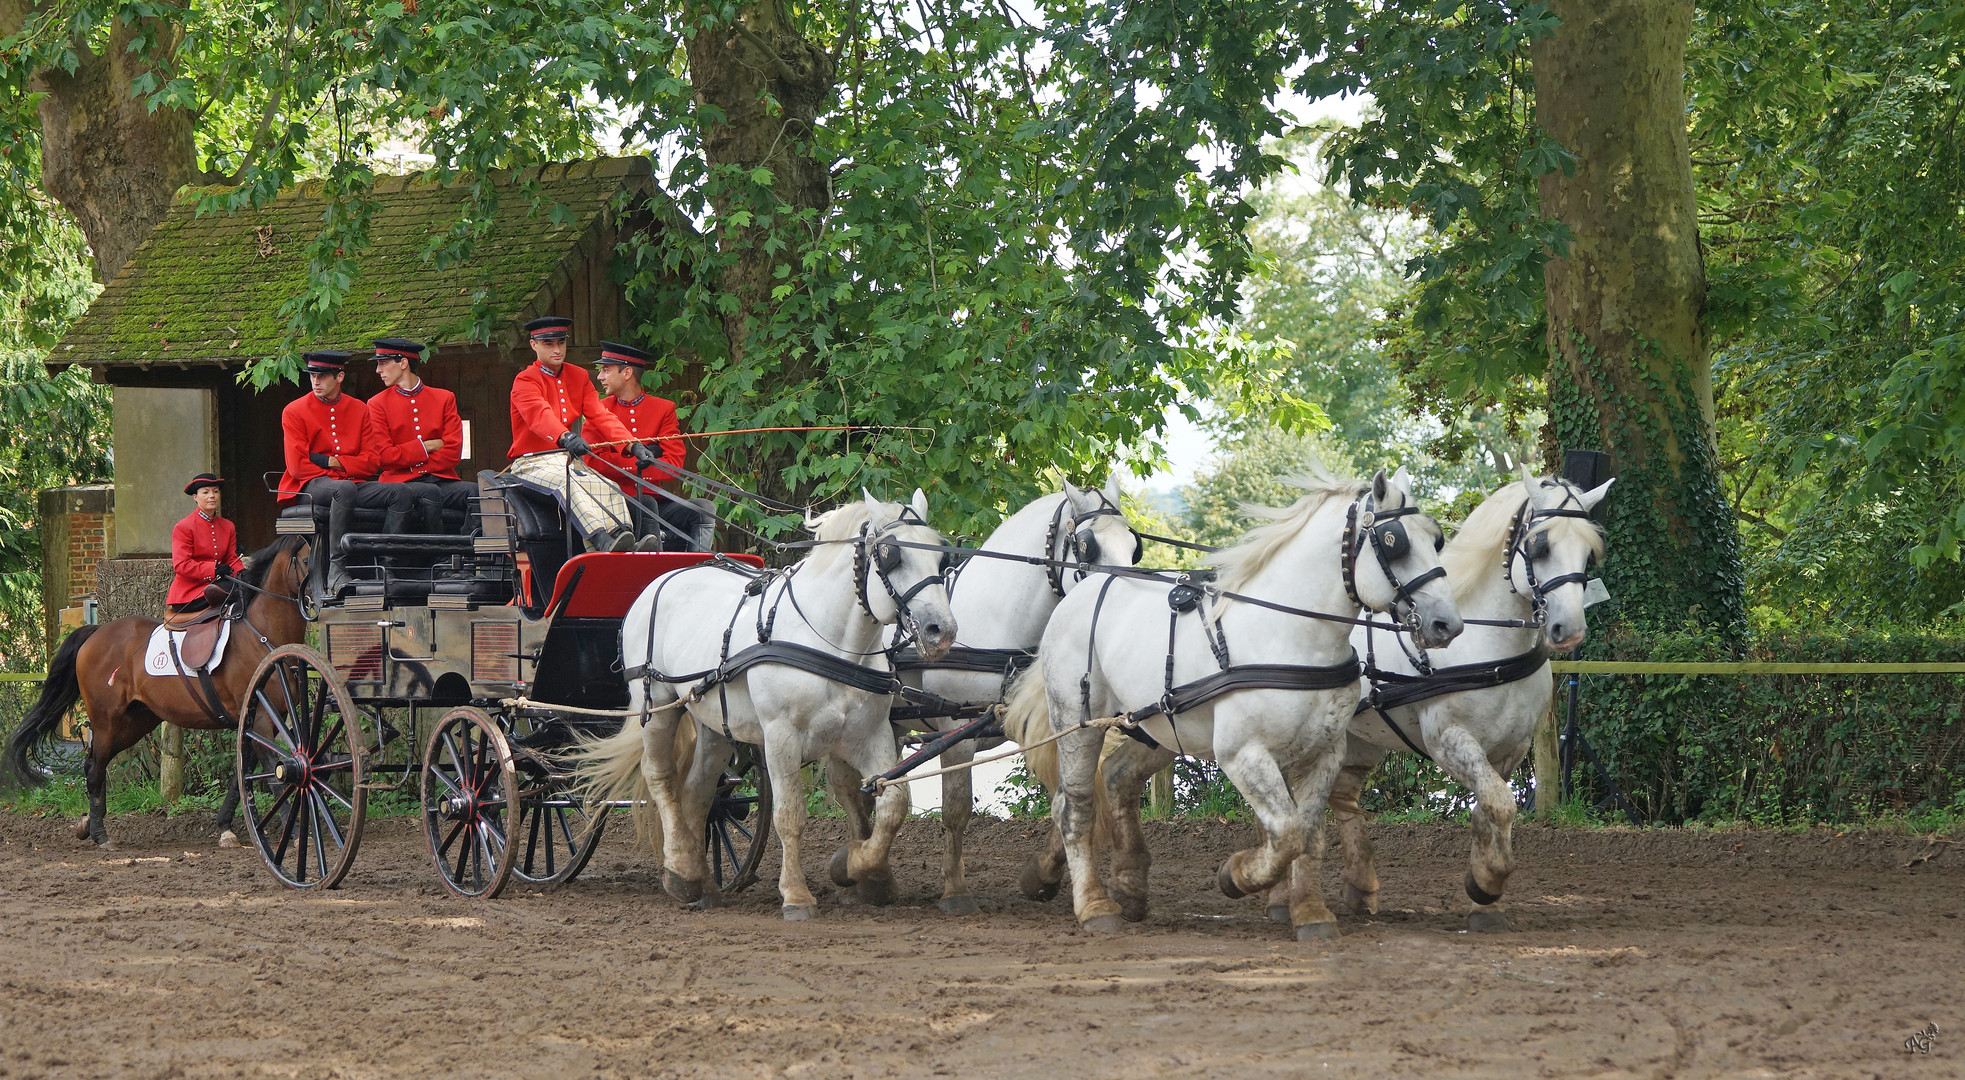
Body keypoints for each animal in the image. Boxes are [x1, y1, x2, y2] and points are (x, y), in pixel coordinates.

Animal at [4, 538, 310, 852]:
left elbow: (242, 775)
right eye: (307, 560)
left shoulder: (257, 722)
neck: (261, 634)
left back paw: (87, 824)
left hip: (135, 723)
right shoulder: (259, 718)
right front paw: (294, 833)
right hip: (106, 722)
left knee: (95, 764)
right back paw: (101, 835)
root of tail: (97, 631)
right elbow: (275, 772)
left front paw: (225, 827)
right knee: (94, 767)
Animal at [573, 494, 954, 918]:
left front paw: (862, 869)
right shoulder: (780, 736)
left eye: (941, 556)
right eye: (891, 555)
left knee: (698, 789)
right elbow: (790, 815)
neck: (830, 642)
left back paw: (701, 881)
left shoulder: (870, 735)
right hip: (656, 702)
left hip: (712, 723)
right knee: (660, 777)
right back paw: (680, 873)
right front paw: (797, 895)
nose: (942, 630)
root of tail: (662, 577)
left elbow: (894, 803)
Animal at [1013, 471, 1461, 938]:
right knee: (1075, 806)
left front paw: (1309, 911)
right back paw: (1094, 905)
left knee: (1115, 778)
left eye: (1435, 538)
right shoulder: (1241, 753)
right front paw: (1237, 876)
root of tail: (1080, 593)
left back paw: (1128, 888)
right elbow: (1287, 832)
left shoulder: (1323, 752)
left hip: (1153, 726)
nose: (1447, 624)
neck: (1289, 635)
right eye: (1394, 542)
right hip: (1079, 723)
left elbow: (1308, 835)